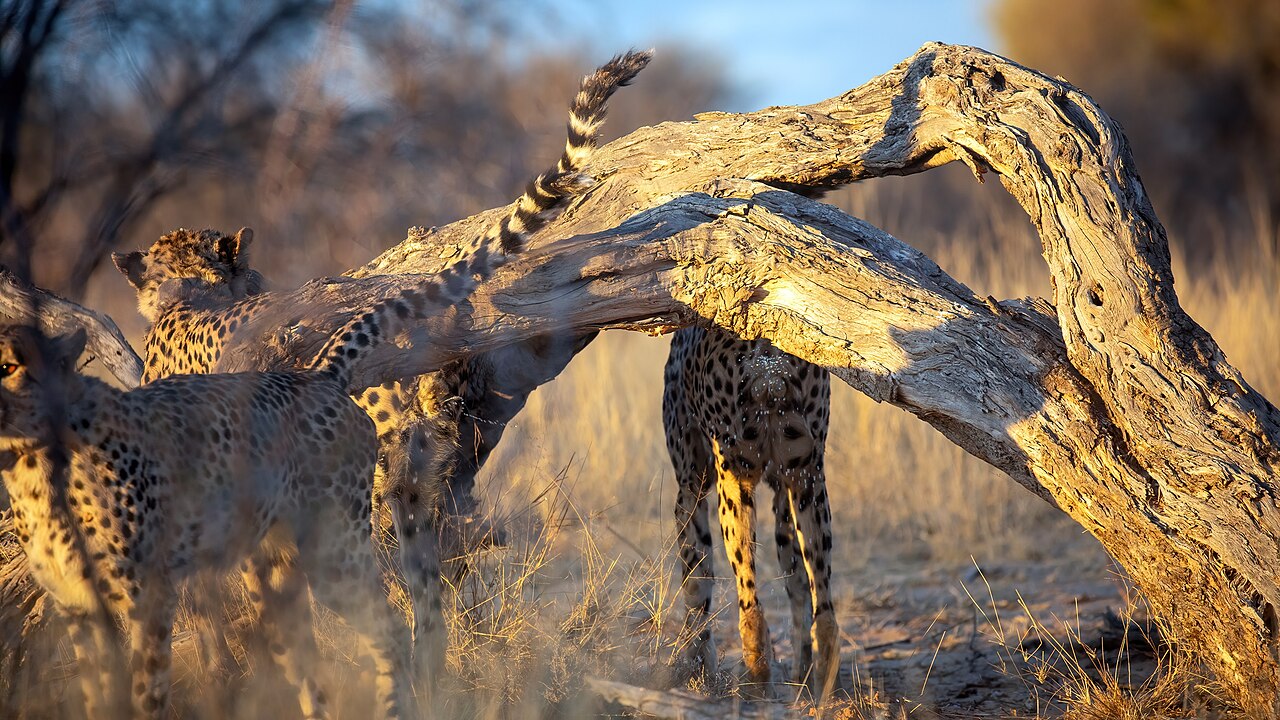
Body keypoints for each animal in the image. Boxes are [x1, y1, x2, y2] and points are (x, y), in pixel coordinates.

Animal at [108, 50, 652, 685]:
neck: (193, 292)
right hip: (415, 491)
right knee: (427, 598)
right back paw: (427, 679)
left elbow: (202, 608)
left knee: (376, 600)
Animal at [663, 325, 840, 703]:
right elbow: (799, 582)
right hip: (805, 478)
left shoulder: (692, 488)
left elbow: (696, 584)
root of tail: (766, 353)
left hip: (728, 477)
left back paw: (754, 678)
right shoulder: (790, 485)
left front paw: (698, 672)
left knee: (743, 592)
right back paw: (818, 680)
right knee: (819, 597)